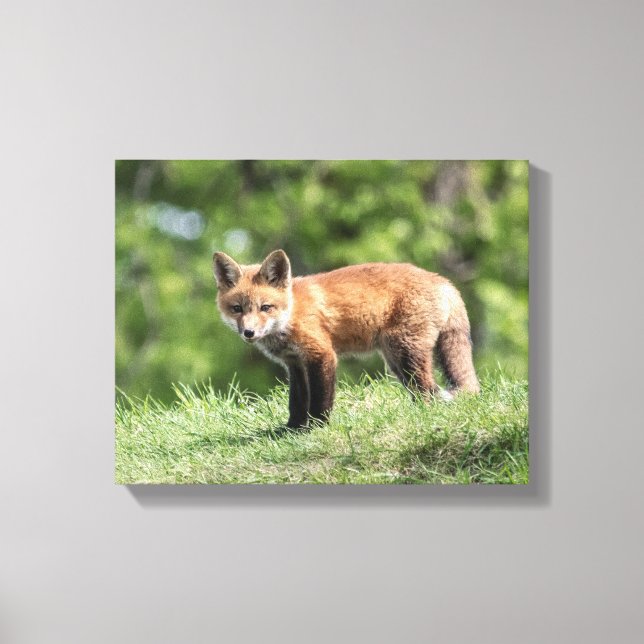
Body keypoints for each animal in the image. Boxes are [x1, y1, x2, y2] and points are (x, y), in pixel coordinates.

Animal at [213, 250, 480, 428]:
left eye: (265, 307)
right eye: (237, 309)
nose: (248, 333)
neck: (291, 313)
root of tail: (443, 281)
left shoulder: (321, 354)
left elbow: (321, 399)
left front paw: (316, 428)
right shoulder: (294, 363)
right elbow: (296, 402)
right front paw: (291, 430)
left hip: (405, 353)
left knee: (427, 390)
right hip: (396, 360)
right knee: (423, 390)